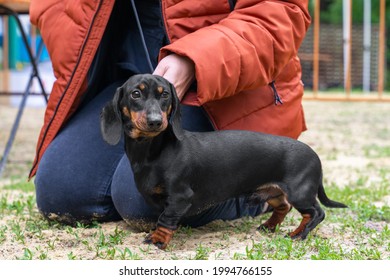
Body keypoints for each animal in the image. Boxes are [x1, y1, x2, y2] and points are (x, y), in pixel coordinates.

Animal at [101, 74, 348, 249]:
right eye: (135, 94)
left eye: (165, 96)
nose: (154, 121)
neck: (152, 151)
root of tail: (315, 156)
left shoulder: (180, 197)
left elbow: (165, 219)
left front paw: (158, 240)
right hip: (274, 191)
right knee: (284, 207)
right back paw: (269, 227)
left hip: (300, 192)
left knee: (316, 213)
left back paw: (299, 234)